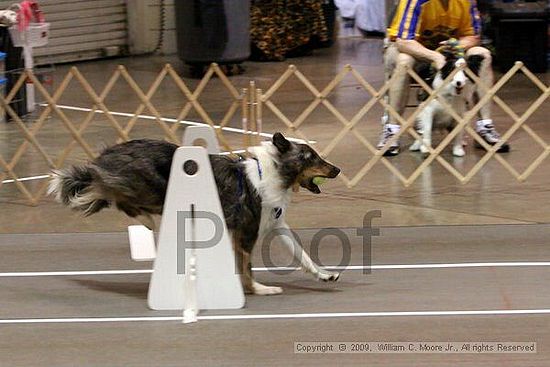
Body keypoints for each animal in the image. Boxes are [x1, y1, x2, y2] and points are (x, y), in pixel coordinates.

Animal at [48, 132, 340, 296]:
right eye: (312, 157)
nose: (338, 169)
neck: (271, 172)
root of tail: (108, 155)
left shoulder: (275, 223)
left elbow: (302, 254)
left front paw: (325, 275)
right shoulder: (247, 231)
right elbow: (246, 267)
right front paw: (259, 289)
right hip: (152, 187)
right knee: (111, 192)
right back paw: (144, 218)